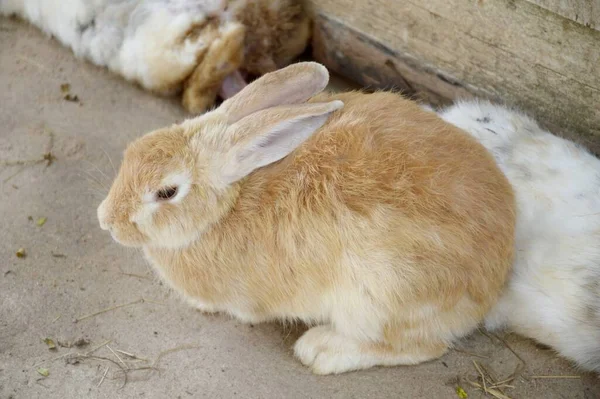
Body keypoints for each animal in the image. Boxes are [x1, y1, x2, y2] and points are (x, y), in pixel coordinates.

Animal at [98, 62, 516, 376]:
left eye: (166, 193)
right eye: (133, 151)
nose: (106, 220)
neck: (223, 209)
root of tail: (493, 279)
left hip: (379, 296)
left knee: (421, 346)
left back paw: (321, 350)